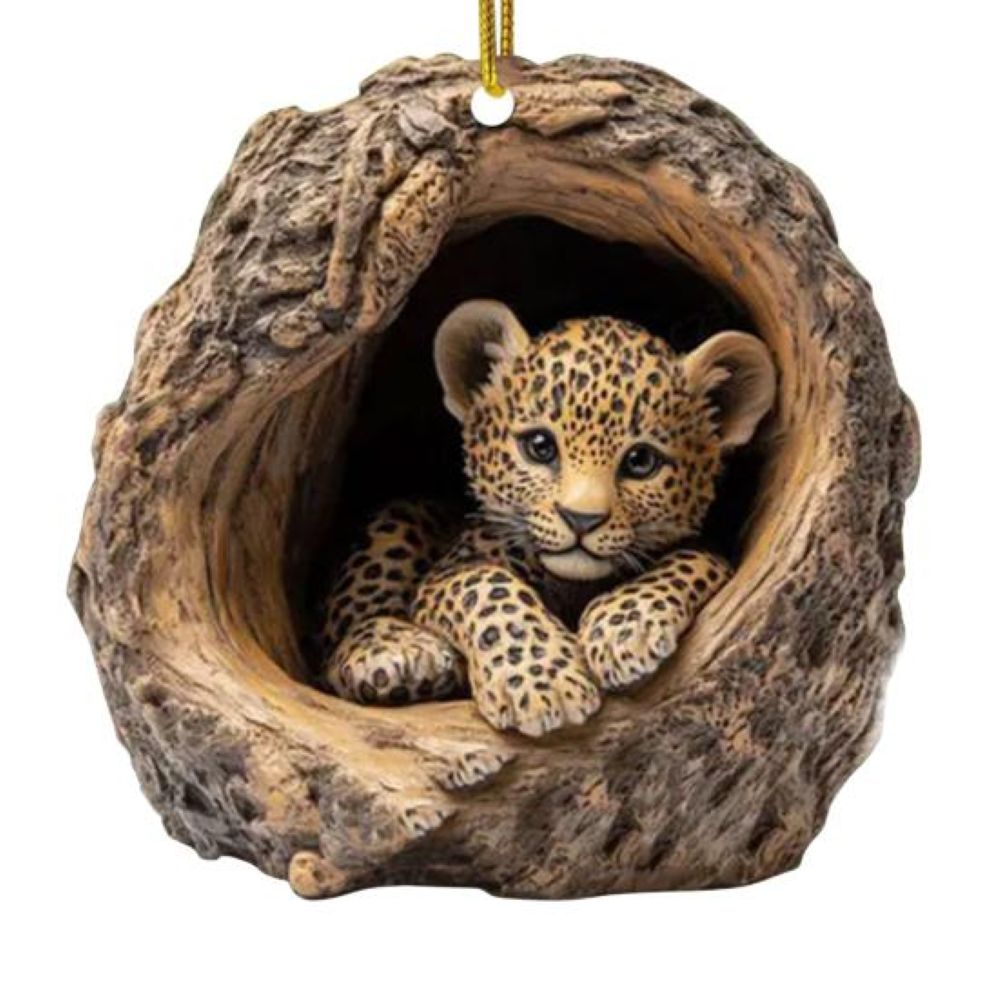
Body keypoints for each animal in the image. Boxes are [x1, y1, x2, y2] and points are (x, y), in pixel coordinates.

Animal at [317, 299, 776, 738]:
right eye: (539, 446)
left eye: (641, 461)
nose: (581, 519)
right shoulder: (454, 568)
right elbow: (486, 587)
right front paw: (543, 686)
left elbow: (693, 559)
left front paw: (623, 627)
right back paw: (396, 652)